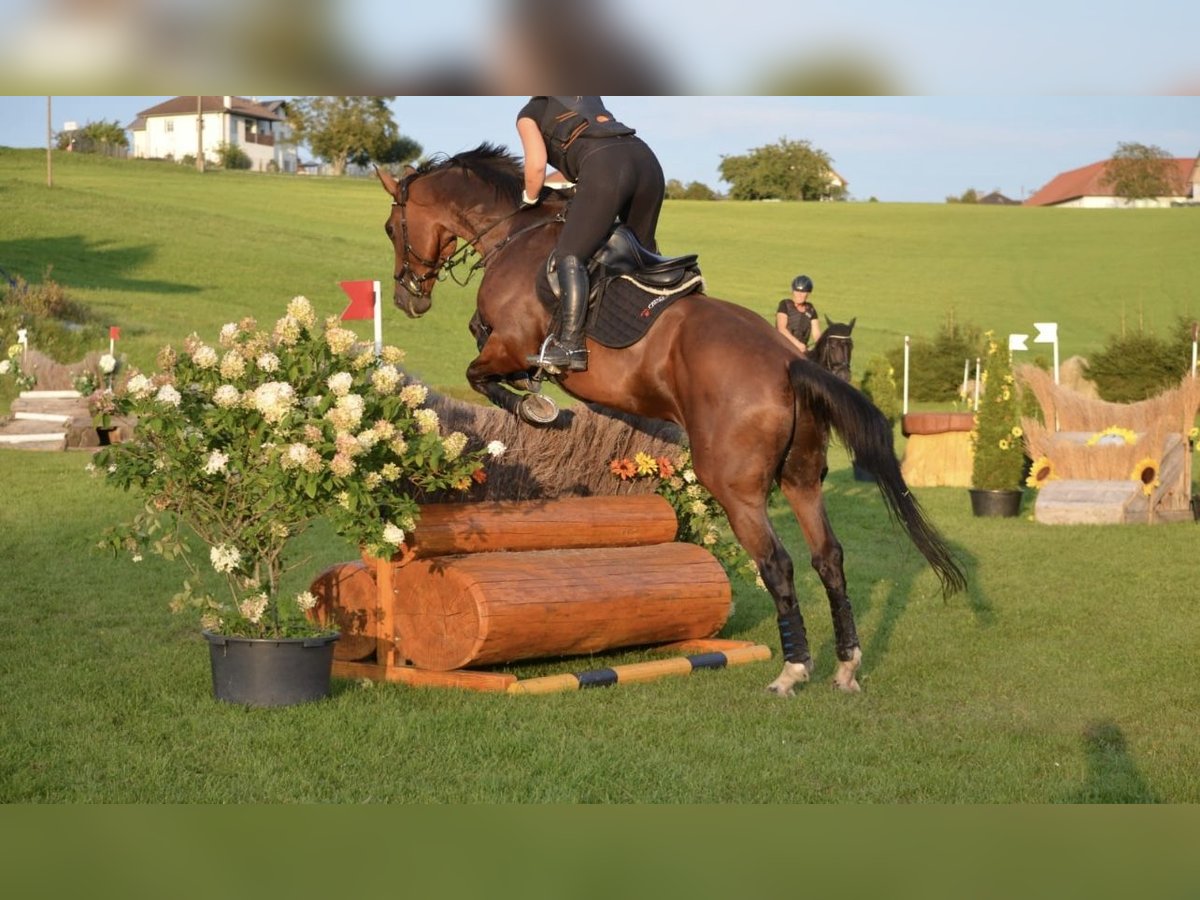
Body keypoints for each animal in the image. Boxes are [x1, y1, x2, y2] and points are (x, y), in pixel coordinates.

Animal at [374, 146, 964, 696]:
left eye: (390, 227)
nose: (406, 296)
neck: (516, 232)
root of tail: (789, 361)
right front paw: (533, 395)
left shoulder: (510, 343)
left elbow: (482, 370)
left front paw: (536, 407)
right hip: (801, 478)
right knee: (829, 558)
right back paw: (845, 665)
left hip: (733, 485)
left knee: (778, 563)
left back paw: (792, 670)